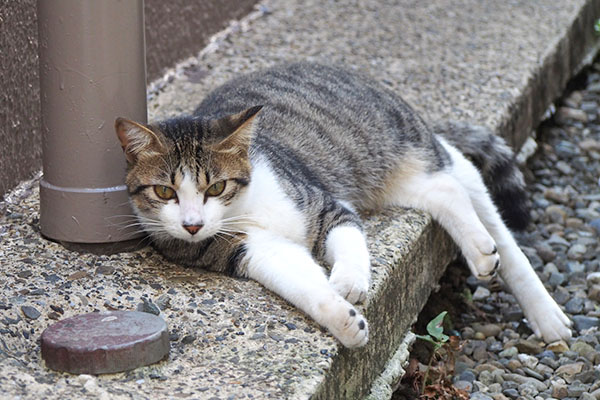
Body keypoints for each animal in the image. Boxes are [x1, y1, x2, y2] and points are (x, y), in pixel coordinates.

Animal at [116, 61, 572, 346]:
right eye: (165, 193)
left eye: (215, 187)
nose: (192, 225)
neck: (245, 208)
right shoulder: (251, 249)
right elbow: (302, 284)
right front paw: (343, 320)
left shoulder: (324, 205)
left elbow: (349, 239)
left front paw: (350, 282)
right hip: (397, 180)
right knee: (443, 191)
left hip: (403, 146)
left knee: (467, 191)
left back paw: (507, 275)